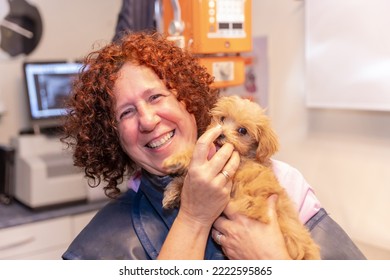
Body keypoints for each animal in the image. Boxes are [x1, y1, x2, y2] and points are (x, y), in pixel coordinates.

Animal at [161, 95, 320, 260]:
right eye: (222, 119)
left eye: (242, 130)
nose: (221, 134)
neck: (246, 156)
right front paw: (173, 193)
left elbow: (195, 152)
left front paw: (175, 160)